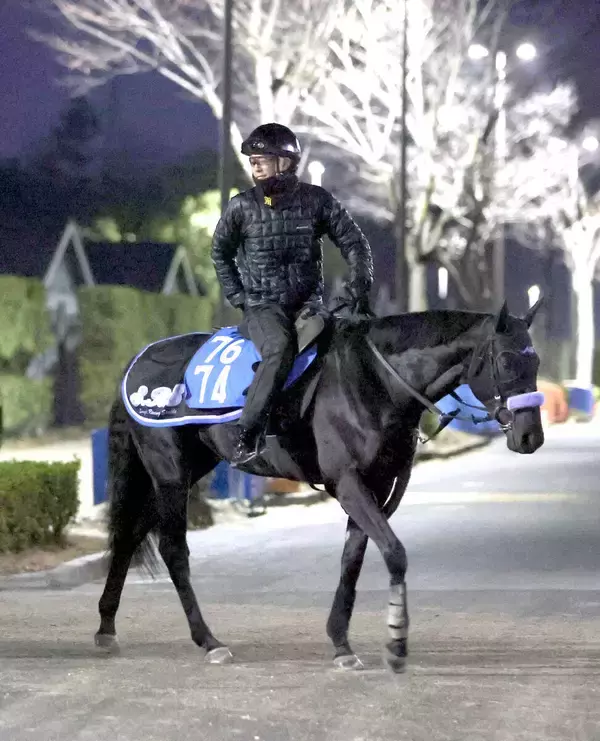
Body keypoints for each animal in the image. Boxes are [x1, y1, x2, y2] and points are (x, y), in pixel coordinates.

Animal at [94, 298, 545, 673]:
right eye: (506, 361)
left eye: (535, 361)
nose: (530, 436)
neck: (376, 381)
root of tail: (137, 361)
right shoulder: (347, 482)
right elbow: (394, 552)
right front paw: (396, 642)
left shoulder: (379, 487)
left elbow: (353, 559)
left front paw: (341, 642)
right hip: (169, 470)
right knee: (172, 549)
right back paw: (208, 641)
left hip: (190, 467)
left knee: (130, 535)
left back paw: (105, 626)